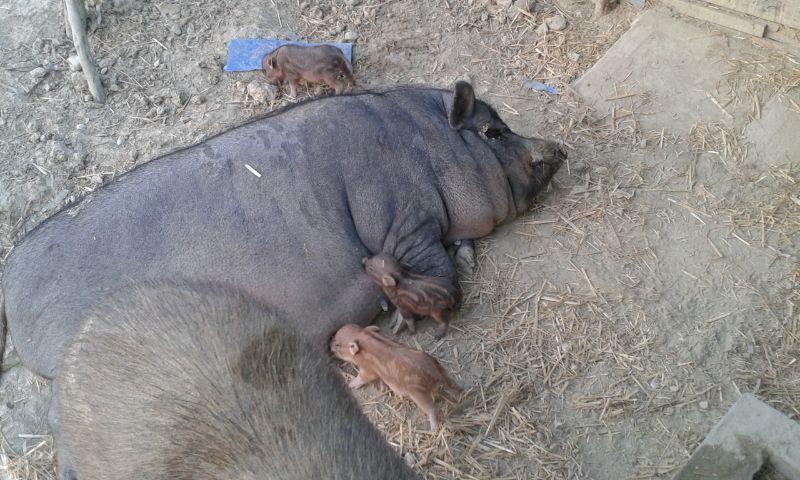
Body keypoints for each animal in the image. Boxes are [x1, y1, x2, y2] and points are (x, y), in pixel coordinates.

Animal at [1, 81, 565, 380]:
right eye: (493, 131)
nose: (558, 147)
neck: (426, 149)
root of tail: (10, 287)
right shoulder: (402, 218)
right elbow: (431, 264)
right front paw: (410, 320)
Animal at [330, 323, 461, 431]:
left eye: (337, 344)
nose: (329, 344)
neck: (361, 336)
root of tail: (434, 373)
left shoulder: (368, 370)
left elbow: (362, 378)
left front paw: (351, 385)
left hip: (419, 394)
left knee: (431, 408)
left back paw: (433, 429)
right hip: (442, 370)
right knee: (452, 384)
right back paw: (460, 393)